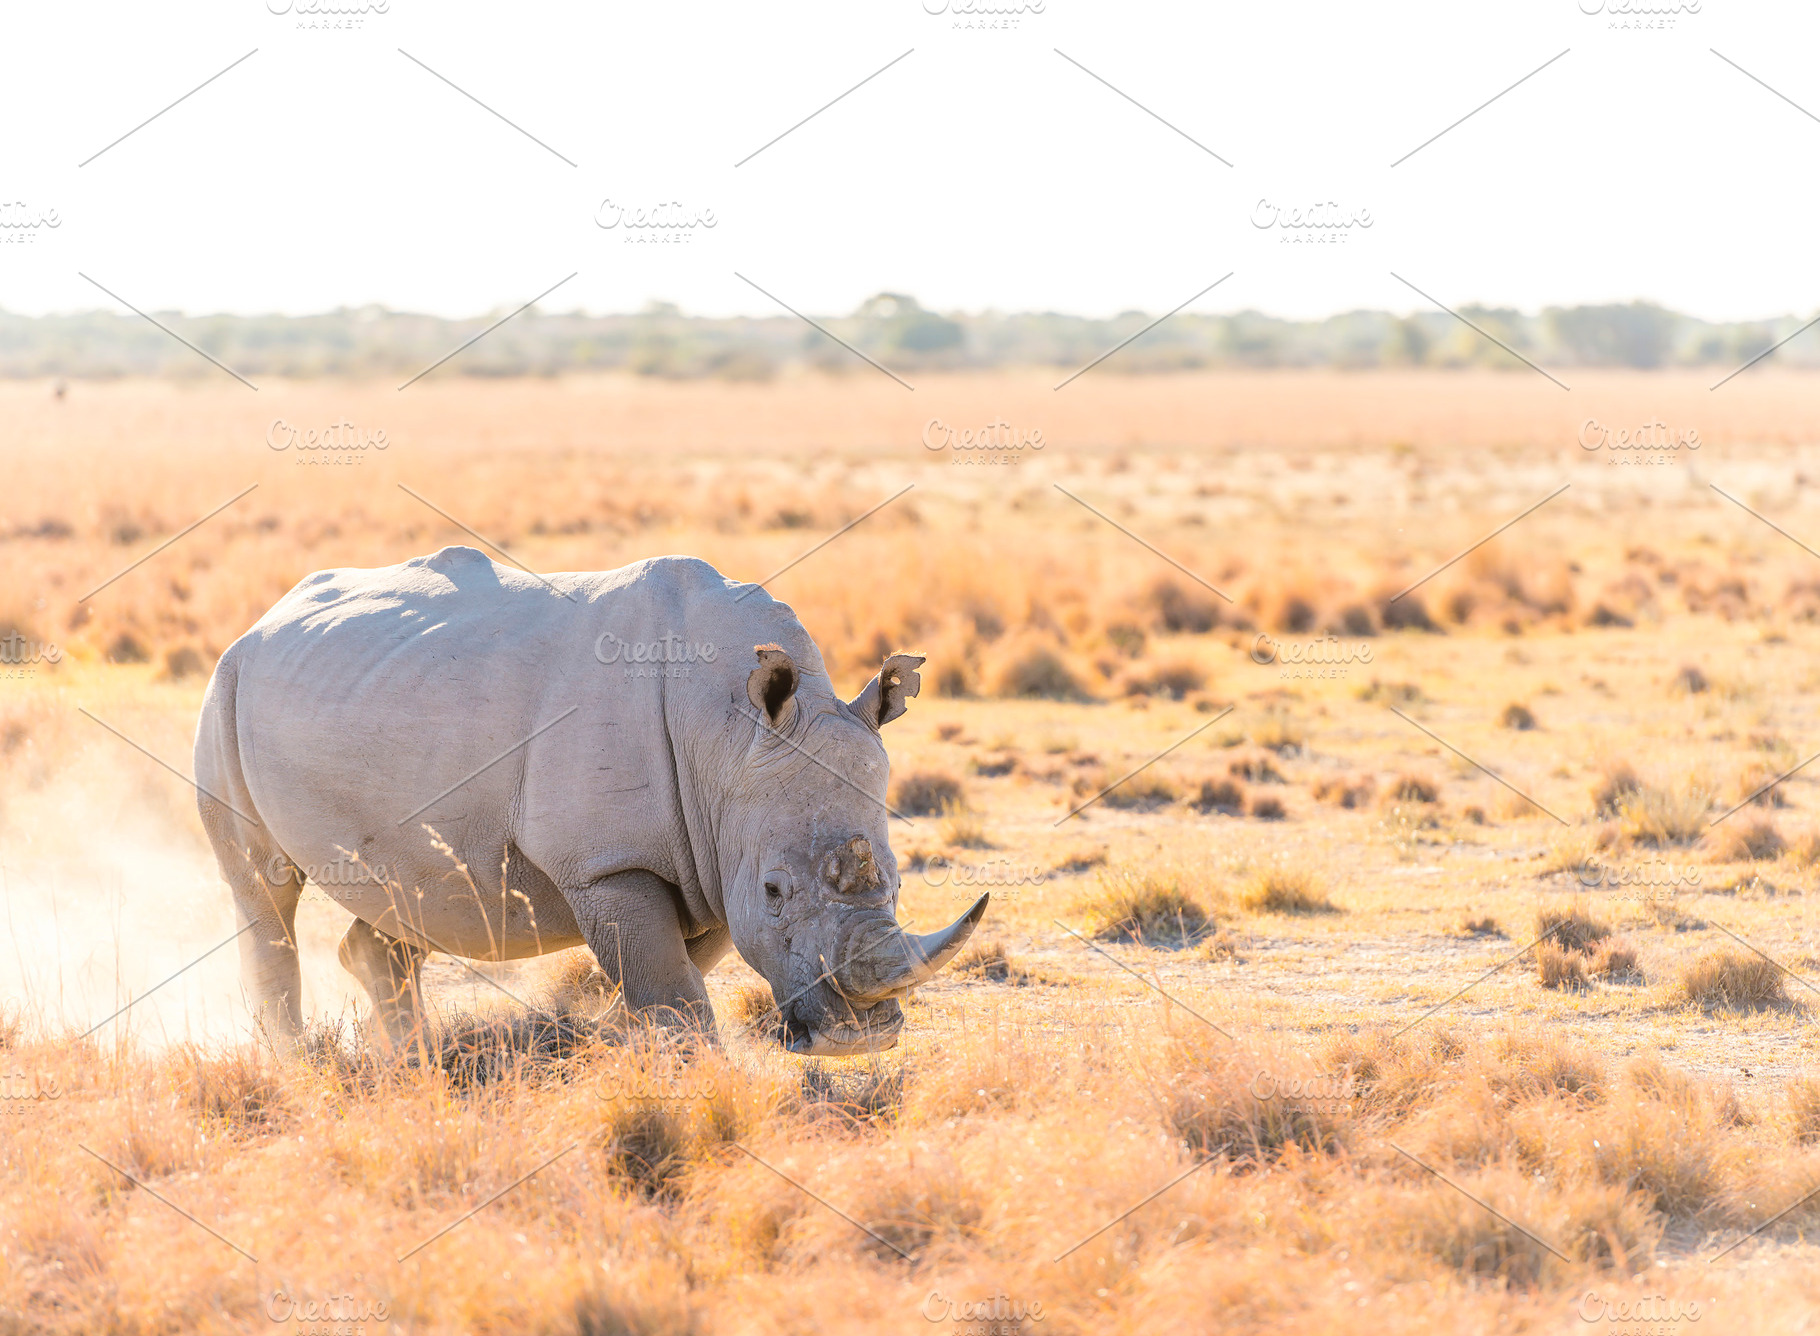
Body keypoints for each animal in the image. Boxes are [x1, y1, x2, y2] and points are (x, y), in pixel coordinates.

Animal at [192, 546, 985, 1055]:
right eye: (775, 891)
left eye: (898, 883)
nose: (858, 1040)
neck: (730, 735)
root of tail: (262, 620)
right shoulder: (612, 863)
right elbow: (673, 991)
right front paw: (686, 1073)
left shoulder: (709, 853)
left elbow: (680, 974)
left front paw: (621, 1049)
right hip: (225, 688)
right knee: (264, 889)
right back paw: (296, 1062)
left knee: (400, 889)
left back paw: (414, 1062)